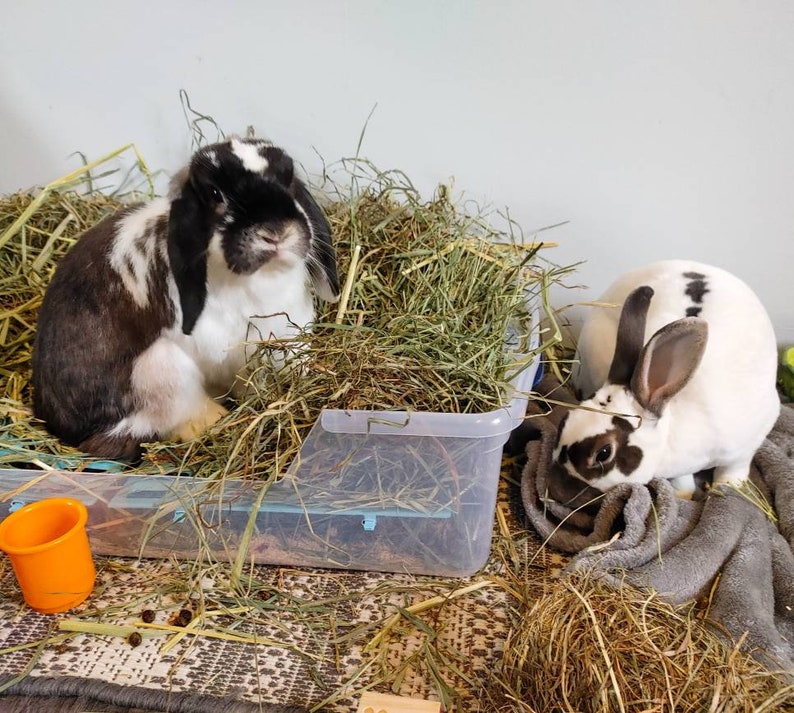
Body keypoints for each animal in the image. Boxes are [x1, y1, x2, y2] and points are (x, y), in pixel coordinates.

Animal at [32, 136, 340, 461]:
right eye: (215, 194)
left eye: (288, 179)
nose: (275, 232)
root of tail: (61, 425)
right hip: (162, 369)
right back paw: (215, 420)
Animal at [554, 259, 779, 498]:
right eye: (565, 420)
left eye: (604, 453)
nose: (557, 488)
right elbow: (683, 480)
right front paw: (683, 494)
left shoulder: (748, 445)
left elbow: (733, 470)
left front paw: (727, 488)